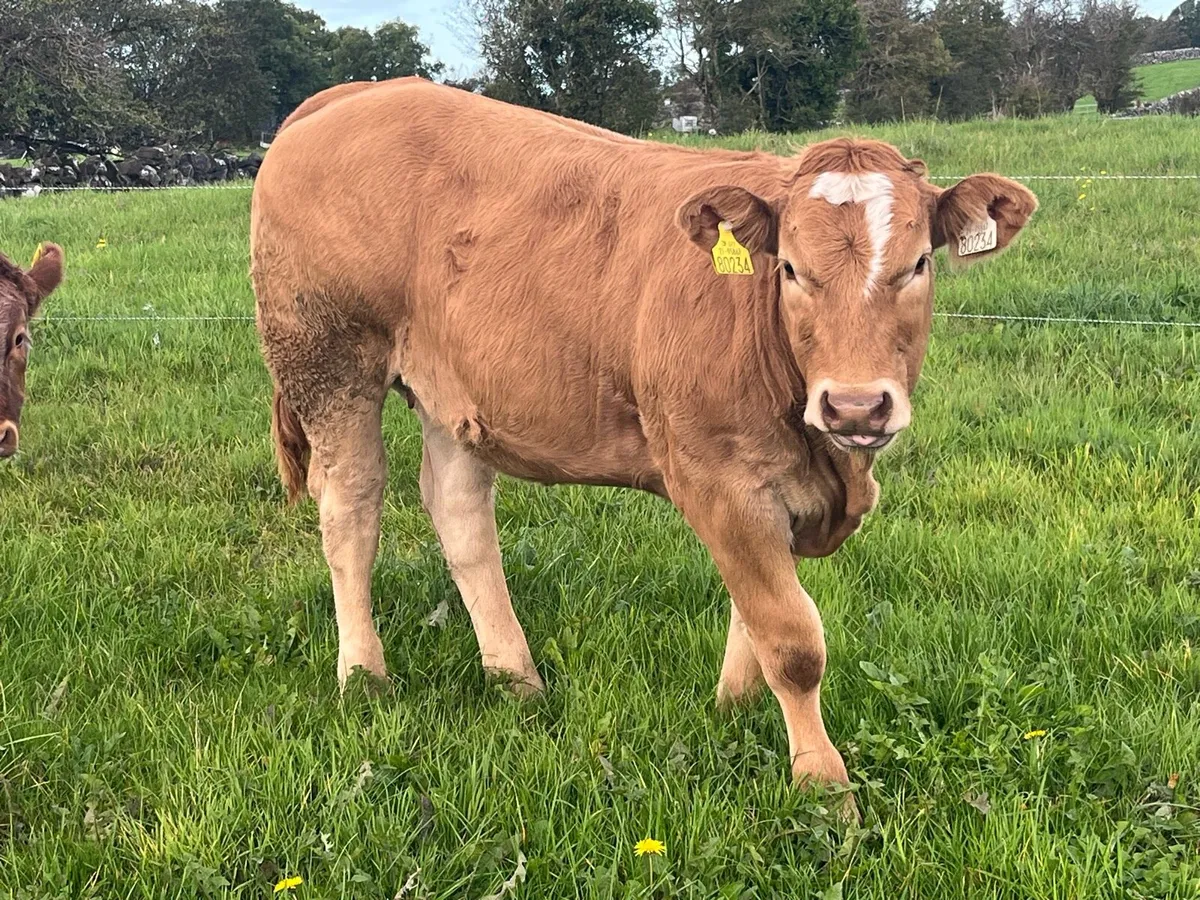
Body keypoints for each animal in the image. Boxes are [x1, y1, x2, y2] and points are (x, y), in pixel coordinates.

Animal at [251, 78, 1036, 789]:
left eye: (919, 263)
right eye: (791, 269)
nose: (855, 407)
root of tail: (353, 95)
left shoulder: (770, 486)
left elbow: (751, 613)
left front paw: (732, 710)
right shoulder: (717, 477)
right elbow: (791, 640)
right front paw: (822, 784)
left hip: (450, 389)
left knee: (459, 514)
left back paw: (516, 679)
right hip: (328, 361)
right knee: (351, 513)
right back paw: (364, 677)